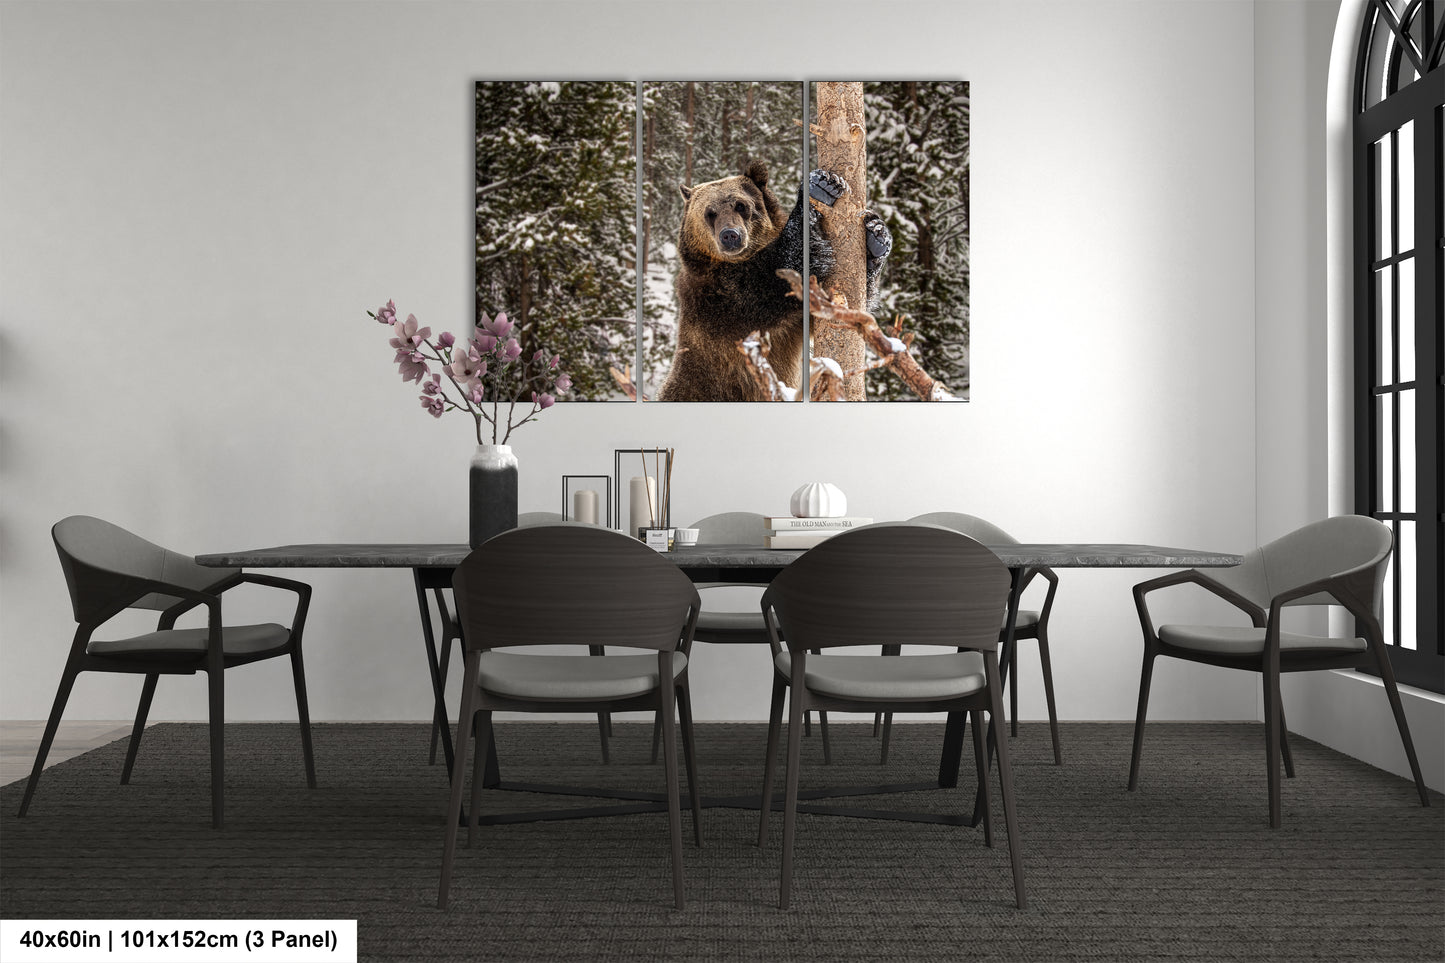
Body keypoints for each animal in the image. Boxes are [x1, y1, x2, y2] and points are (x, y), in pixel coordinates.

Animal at [658, 159, 884, 399]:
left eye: (741, 205)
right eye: (710, 212)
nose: (730, 235)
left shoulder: (794, 324)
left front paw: (876, 237)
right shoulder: (722, 298)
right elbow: (779, 274)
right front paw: (819, 188)